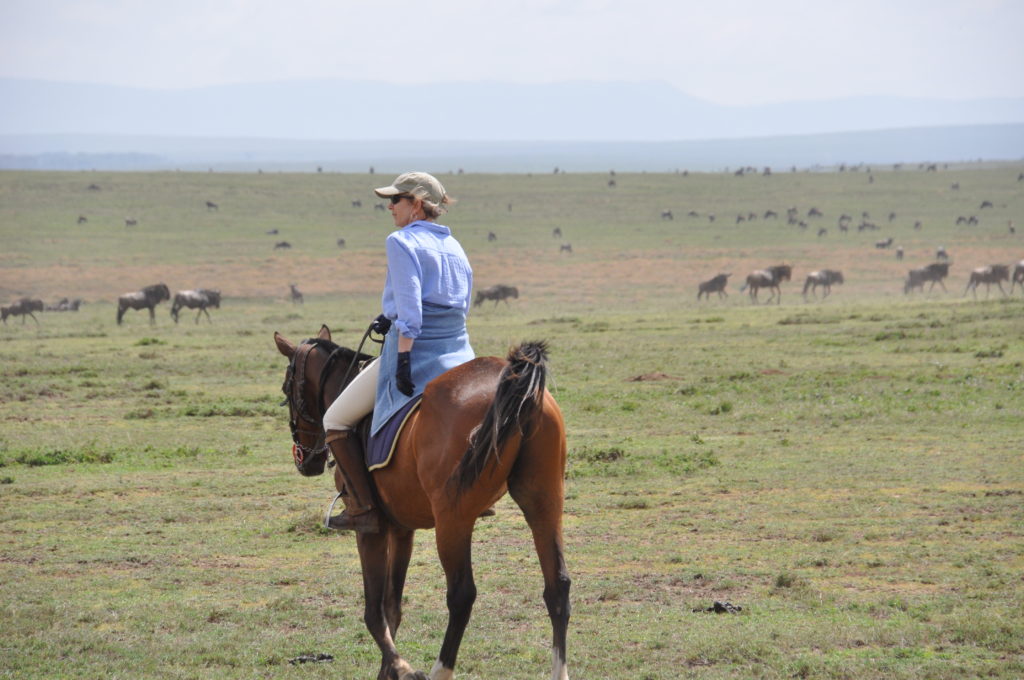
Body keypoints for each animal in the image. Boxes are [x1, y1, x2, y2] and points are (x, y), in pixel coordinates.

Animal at [276, 327, 573, 675]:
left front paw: (402, 668)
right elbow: (392, 607)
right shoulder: (402, 528)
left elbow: (374, 612)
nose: (303, 460)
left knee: (461, 595)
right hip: (543, 503)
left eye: (286, 388)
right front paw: (388, 672)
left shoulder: (370, 530)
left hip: (453, 520)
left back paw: (440, 670)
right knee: (557, 586)